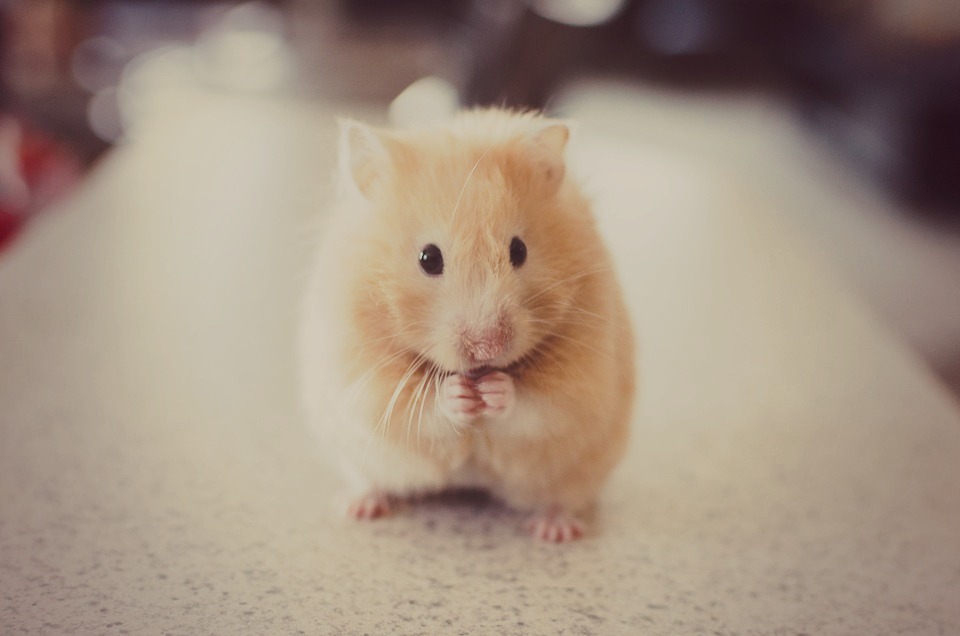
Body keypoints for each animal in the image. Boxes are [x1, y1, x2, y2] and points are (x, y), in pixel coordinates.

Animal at [296, 108, 632, 540]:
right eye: (428, 258)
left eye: (519, 250)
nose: (488, 347)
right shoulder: (364, 380)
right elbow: (420, 410)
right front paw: (460, 394)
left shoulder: (581, 385)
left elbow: (536, 406)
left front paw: (494, 390)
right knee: (371, 480)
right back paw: (358, 507)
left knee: (562, 497)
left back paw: (554, 531)